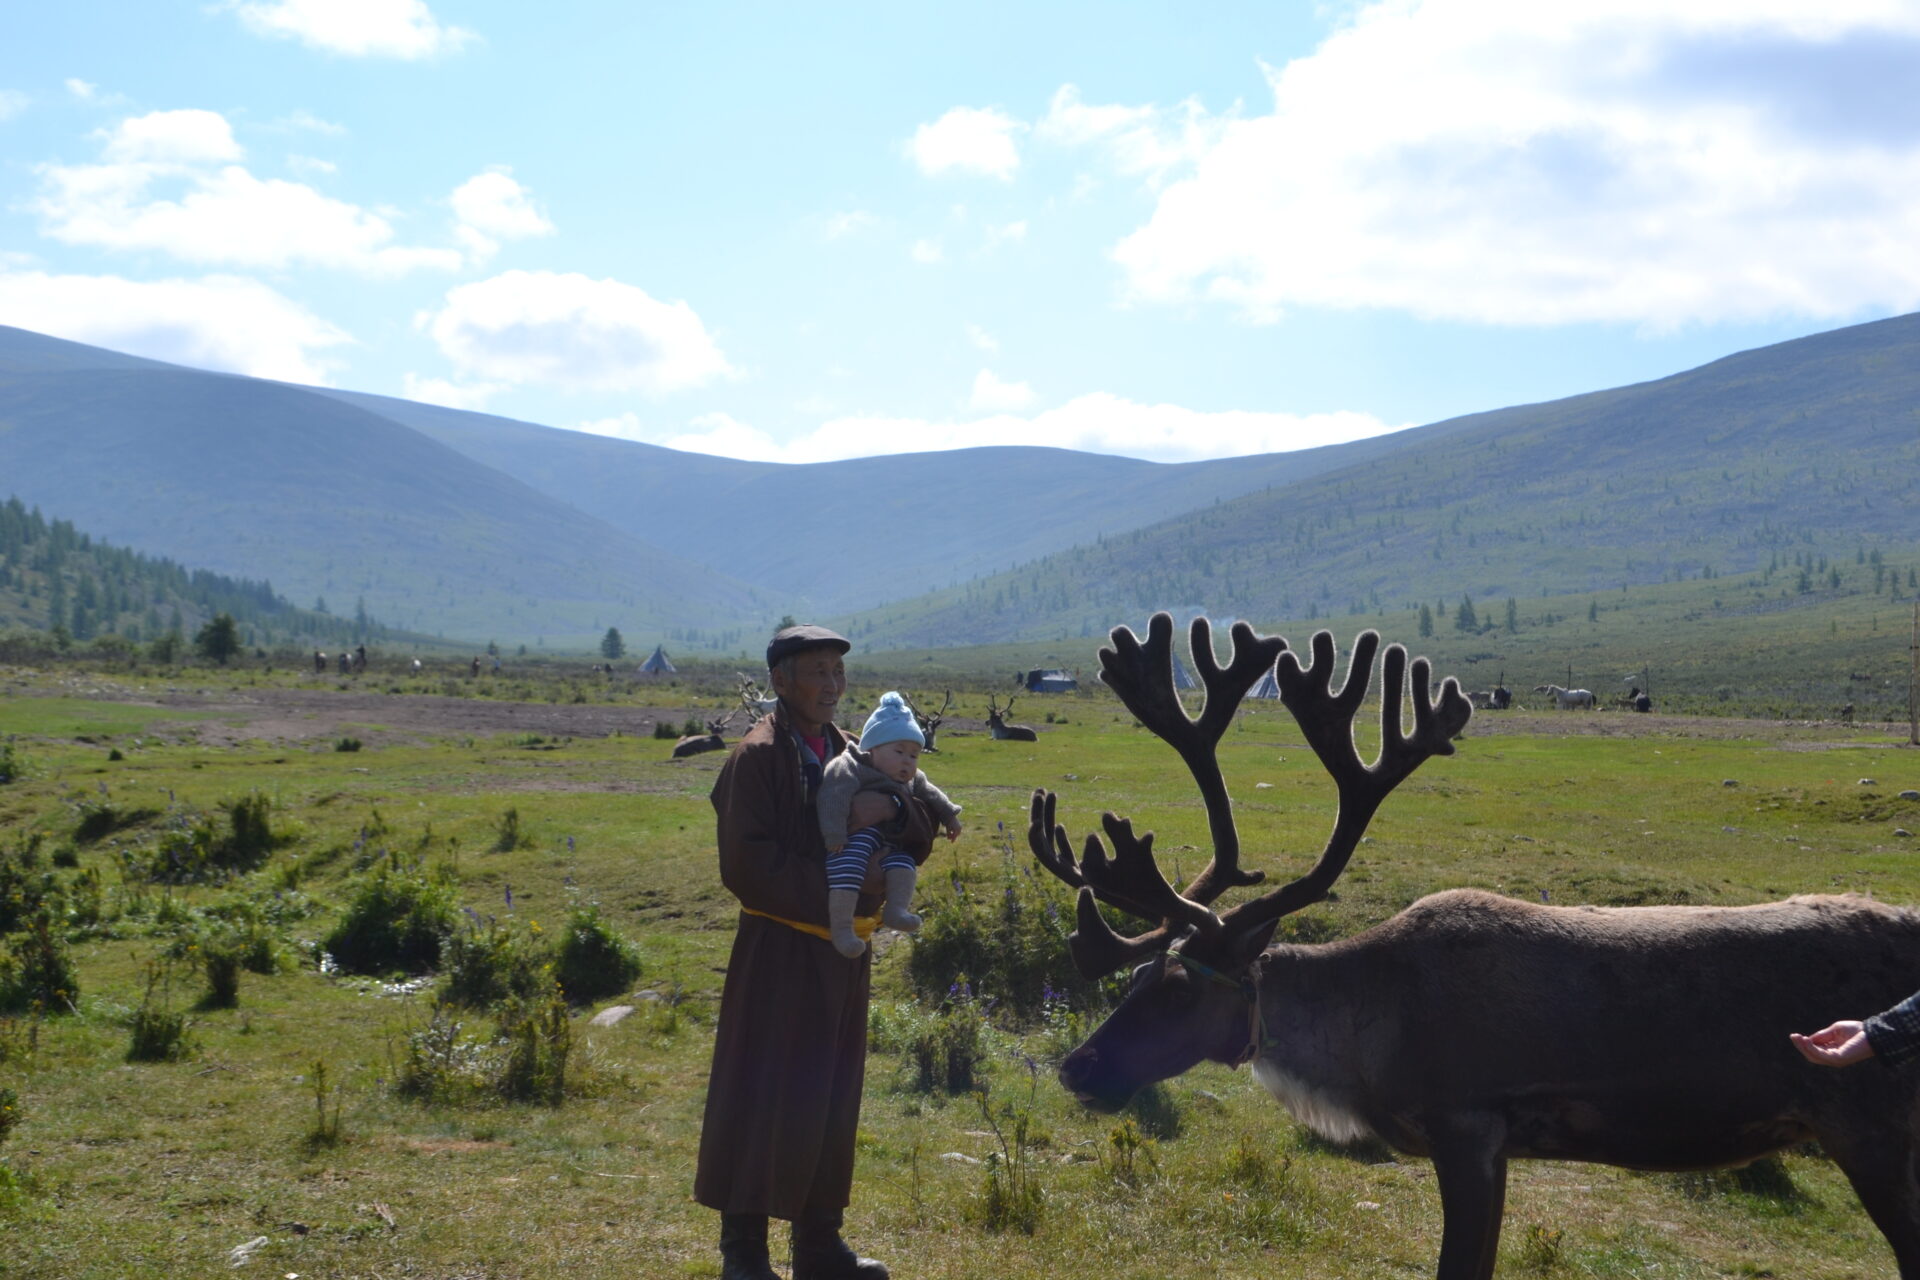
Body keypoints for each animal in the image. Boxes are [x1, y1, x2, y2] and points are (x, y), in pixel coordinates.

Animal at [1029, 611, 1920, 1280]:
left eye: (1179, 988)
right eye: (1135, 975)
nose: (1076, 1068)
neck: (1364, 1035)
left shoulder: (1469, 1125)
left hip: (1876, 1133)